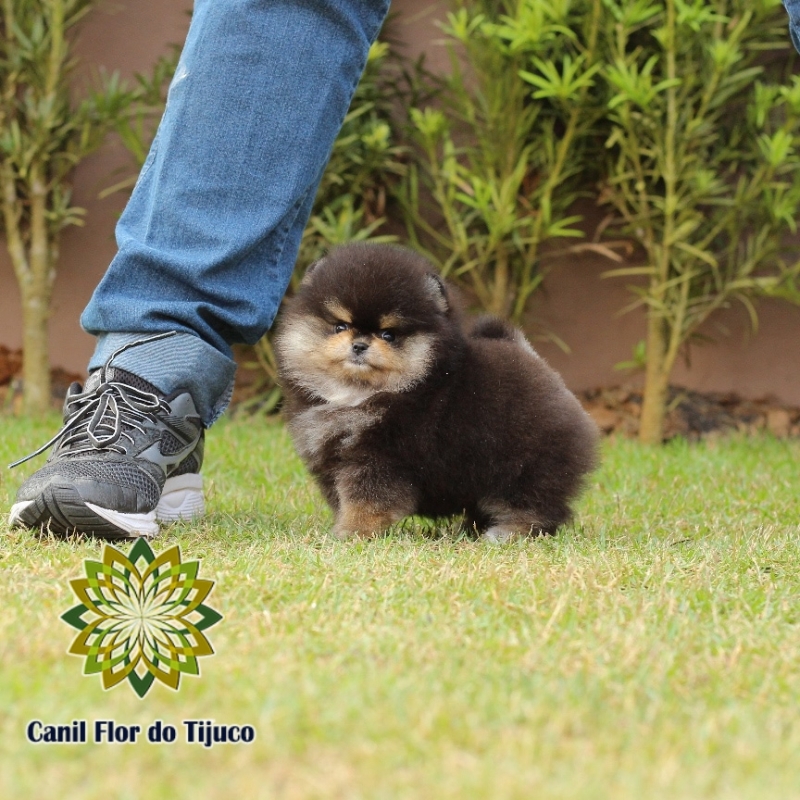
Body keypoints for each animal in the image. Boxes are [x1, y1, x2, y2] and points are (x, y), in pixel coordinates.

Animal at [272, 242, 596, 544]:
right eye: (340, 326)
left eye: (389, 334)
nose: (360, 344)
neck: (360, 395)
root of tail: (537, 363)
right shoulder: (332, 460)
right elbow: (342, 499)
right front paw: (345, 528)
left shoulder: (380, 458)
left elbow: (366, 501)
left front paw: (353, 533)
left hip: (523, 469)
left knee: (539, 507)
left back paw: (509, 532)